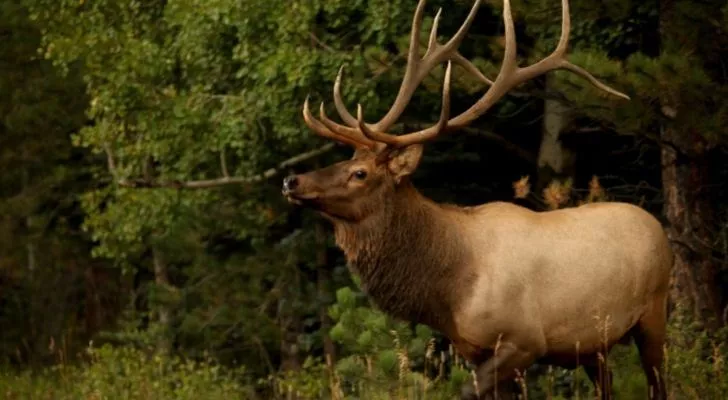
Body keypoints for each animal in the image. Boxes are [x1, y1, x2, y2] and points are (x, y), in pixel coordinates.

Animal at [282, 0, 672, 396]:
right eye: (347, 159)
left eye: (360, 173)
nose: (292, 180)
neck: (449, 290)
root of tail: (658, 226)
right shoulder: (472, 348)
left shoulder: (525, 341)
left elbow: (465, 390)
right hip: (594, 344)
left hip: (654, 310)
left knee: (658, 382)